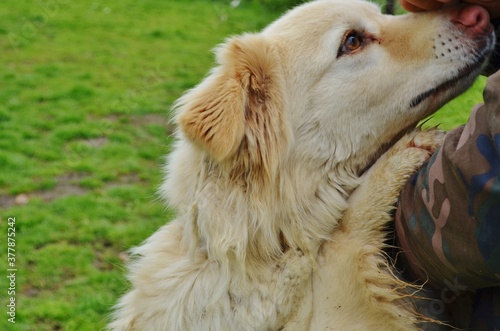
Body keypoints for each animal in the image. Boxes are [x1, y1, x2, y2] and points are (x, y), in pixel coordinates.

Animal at [108, 0, 492, 330]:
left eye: (384, 14)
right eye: (352, 41)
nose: (480, 15)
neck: (271, 245)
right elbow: (342, 247)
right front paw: (396, 161)